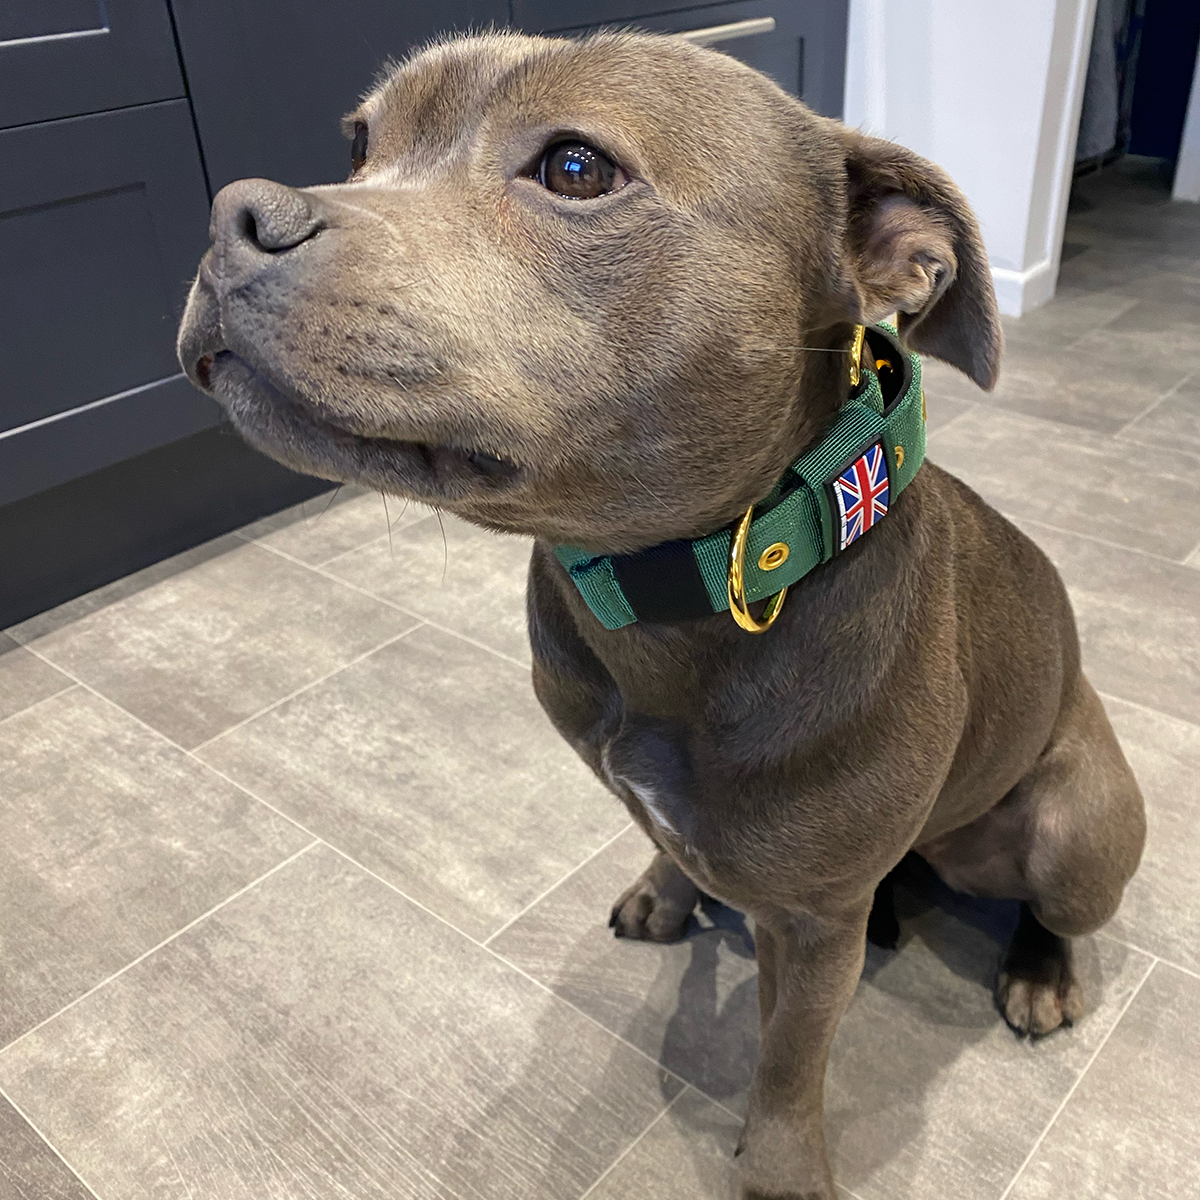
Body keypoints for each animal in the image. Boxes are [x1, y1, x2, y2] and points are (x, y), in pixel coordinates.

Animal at [175, 28, 1142, 1200]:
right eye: (359, 144)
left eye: (576, 168)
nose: (234, 214)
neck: (679, 591)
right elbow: (675, 850)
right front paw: (665, 892)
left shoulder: (814, 928)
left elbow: (787, 1060)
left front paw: (780, 1166)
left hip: (1081, 826)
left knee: (1053, 906)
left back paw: (1041, 975)